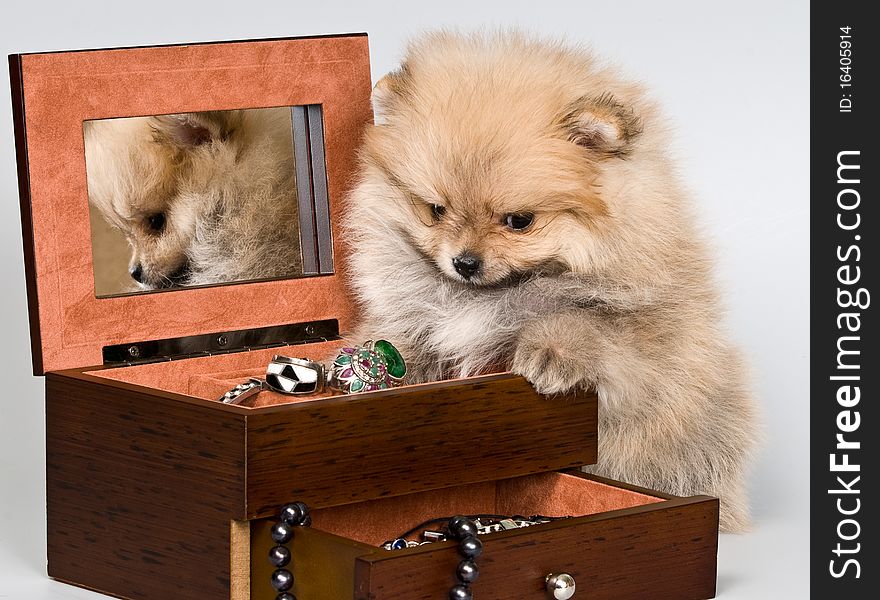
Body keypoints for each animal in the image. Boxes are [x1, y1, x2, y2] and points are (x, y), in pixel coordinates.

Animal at [344, 30, 756, 532]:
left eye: (519, 221)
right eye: (436, 210)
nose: (464, 262)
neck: (495, 294)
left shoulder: (642, 338)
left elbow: (584, 320)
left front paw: (550, 352)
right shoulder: (419, 317)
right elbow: (403, 339)